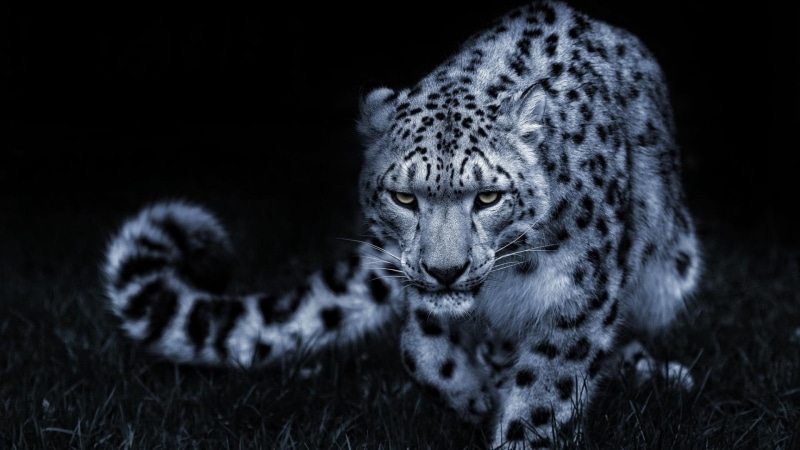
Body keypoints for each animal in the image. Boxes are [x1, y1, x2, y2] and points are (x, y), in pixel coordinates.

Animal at [102, 1, 701, 448]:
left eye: (489, 196)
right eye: (404, 197)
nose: (445, 271)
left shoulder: (577, 297)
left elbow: (544, 395)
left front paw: (513, 423)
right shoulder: (417, 288)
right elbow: (420, 351)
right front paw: (473, 397)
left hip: (671, 270)